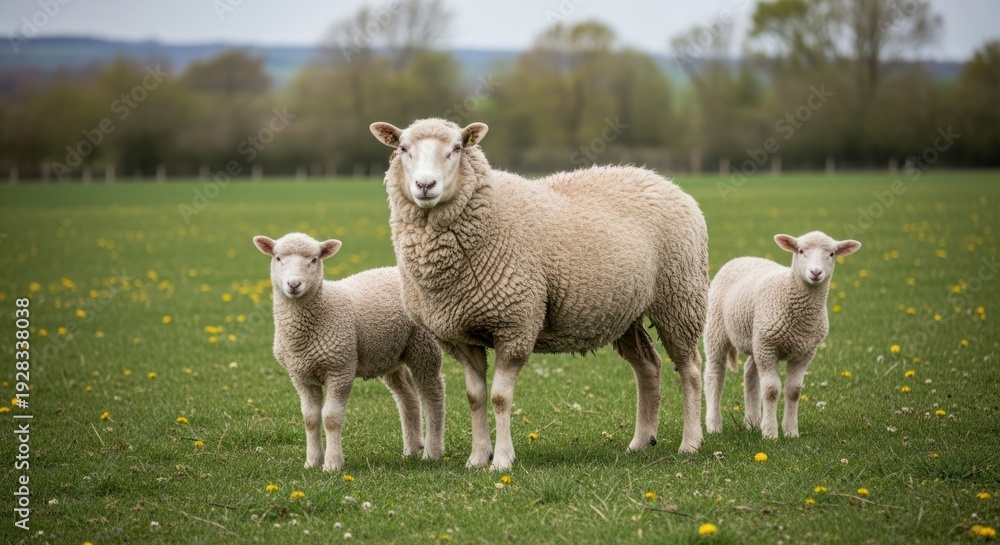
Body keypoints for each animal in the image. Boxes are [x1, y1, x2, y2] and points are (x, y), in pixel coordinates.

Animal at [252, 232, 445, 471]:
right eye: (278, 258)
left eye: (314, 260)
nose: (294, 284)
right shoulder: (300, 375)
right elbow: (310, 418)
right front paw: (312, 461)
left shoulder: (340, 368)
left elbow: (331, 418)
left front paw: (332, 464)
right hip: (389, 353)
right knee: (407, 394)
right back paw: (412, 448)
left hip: (424, 346)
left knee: (433, 393)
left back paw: (432, 451)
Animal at [369, 118, 709, 470]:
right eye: (402, 148)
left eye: (457, 148)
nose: (425, 185)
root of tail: (662, 180)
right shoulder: (462, 336)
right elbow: (475, 397)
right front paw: (477, 458)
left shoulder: (515, 324)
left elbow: (499, 398)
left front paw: (502, 460)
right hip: (624, 310)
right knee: (648, 366)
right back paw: (641, 441)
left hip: (679, 295)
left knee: (690, 368)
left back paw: (690, 441)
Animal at [703, 231, 861, 439]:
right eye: (800, 251)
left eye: (832, 254)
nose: (816, 272)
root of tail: (743, 257)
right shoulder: (768, 346)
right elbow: (771, 390)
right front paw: (771, 433)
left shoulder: (805, 352)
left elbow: (794, 391)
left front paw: (790, 431)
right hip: (718, 331)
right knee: (715, 375)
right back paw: (714, 425)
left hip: (756, 339)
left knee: (750, 373)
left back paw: (752, 421)